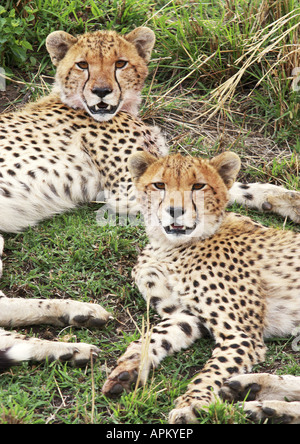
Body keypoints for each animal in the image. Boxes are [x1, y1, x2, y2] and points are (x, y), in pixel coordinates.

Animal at [0, 26, 300, 370]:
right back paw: (70, 341)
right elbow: (201, 191)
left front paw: (284, 199)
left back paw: (74, 324)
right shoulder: (127, 193)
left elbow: (218, 183)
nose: (101, 92)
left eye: (120, 63)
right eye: (82, 65)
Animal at [102, 152, 300, 424]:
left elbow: (215, 368)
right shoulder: (187, 315)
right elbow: (157, 333)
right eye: (159, 185)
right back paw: (257, 394)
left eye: (198, 186)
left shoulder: (241, 333)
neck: (170, 247)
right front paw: (129, 367)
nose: (175, 211)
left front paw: (192, 404)